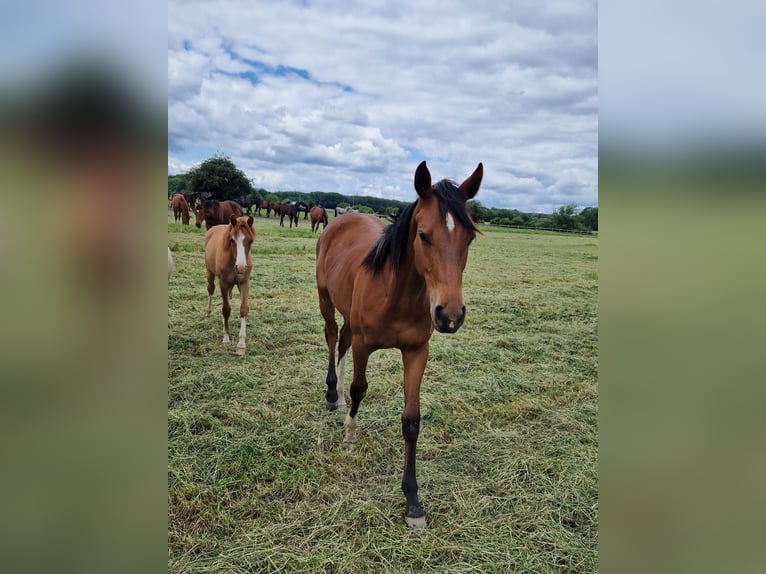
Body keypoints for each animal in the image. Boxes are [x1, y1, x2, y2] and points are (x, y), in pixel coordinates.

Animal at [206, 215, 256, 356]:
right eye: (232, 240)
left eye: (250, 241)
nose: (241, 267)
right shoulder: (223, 283)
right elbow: (226, 309)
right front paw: (226, 337)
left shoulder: (244, 283)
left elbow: (243, 309)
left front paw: (241, 344)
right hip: (210, 273)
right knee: (211, 290)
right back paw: (208, 311)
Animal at [316, 162, 484, 532]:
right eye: (423, 235)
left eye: (469, 237)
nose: (450, 316)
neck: (396, 294)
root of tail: (343, 217)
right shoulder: (365, 346)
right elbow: (360, 388)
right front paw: (350, 433)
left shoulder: (417, 352)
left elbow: (411, 420)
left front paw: (412, 501)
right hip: (325, 299)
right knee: (333, 336)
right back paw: (333, 394)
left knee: (342, 339)